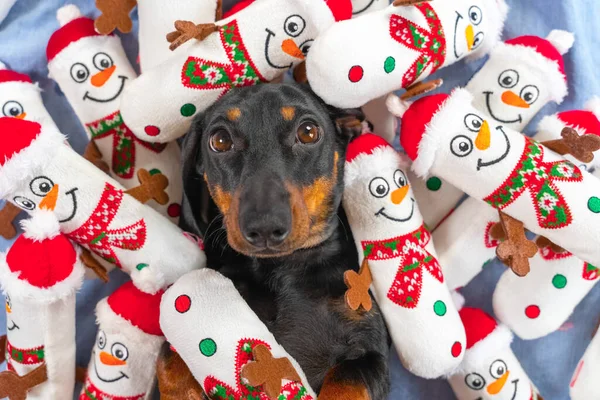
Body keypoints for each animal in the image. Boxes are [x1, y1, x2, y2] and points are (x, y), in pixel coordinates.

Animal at [168, 83, 390, 398]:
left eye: (308, 132)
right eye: (220, 140)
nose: (264, 227)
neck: (280, 269)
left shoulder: (369, 352)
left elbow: (345, 382)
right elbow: (171, 363)